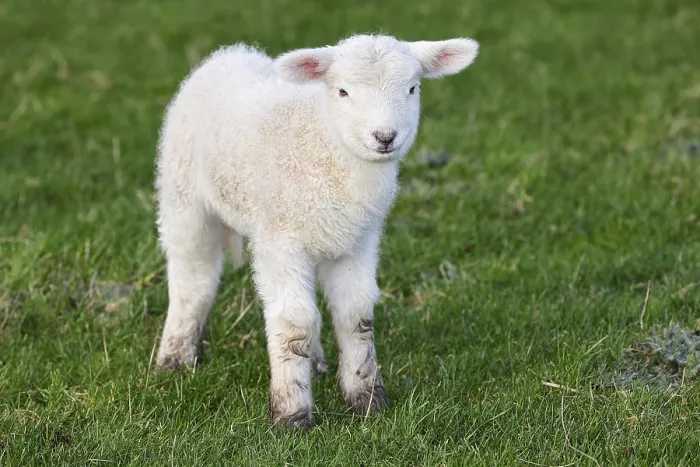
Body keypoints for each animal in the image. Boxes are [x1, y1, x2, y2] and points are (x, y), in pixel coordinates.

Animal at [154, 33, 479, 429]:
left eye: (413, 89)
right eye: (342, 91)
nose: (385, 137)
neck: (326, 146)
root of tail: (231, 54)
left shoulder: (358, 241)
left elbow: (356, 315)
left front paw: (367, 400)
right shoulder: (280, 242)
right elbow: (294, 323)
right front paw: (291, 414)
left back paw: (318, 362)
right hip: (183, 197)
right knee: (193, 278)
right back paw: (174, 357)